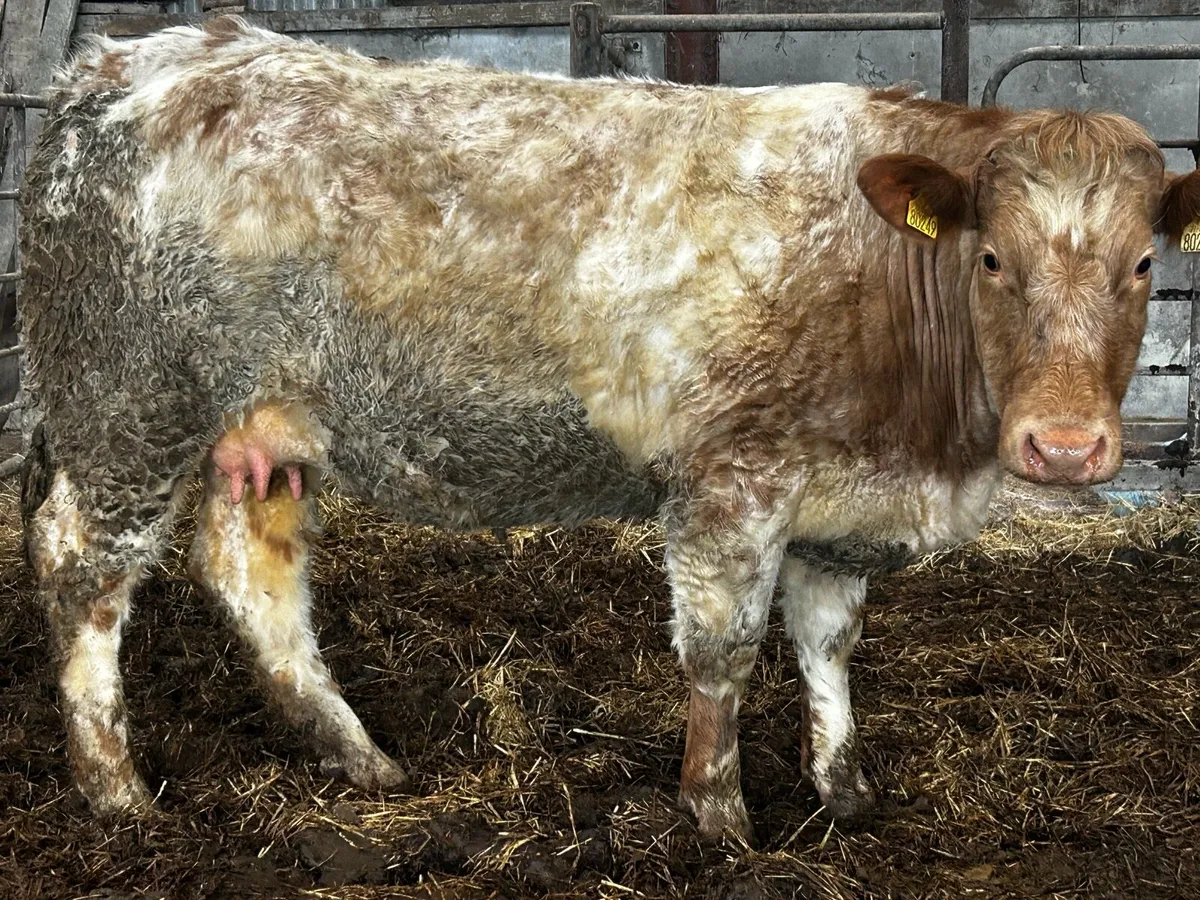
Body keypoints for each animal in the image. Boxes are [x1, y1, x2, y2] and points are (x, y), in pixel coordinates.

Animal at [17, 17, 1200, 842]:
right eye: (993, 258)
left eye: (1146, 264)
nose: (1065, 447)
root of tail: (124, 64)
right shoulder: (732, 482)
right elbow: (725, 654)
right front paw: (720, 819)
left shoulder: (842, 496)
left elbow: (827, 644)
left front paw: (844, 792)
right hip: (128, 408)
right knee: (80, 566)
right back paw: (117, 791)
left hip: (256, 436)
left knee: (250, 576)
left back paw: (362, 761)